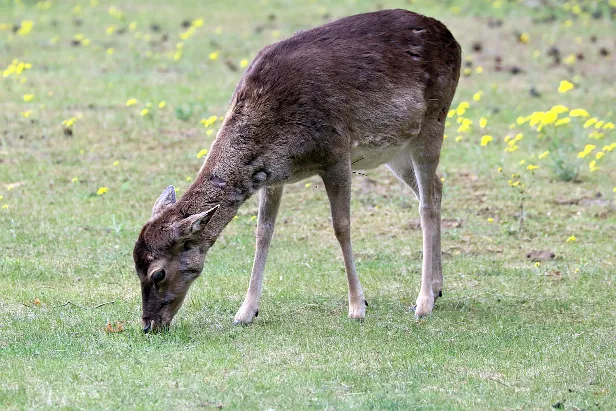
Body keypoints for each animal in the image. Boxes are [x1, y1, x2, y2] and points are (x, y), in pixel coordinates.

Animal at [135, 8, 462, 334]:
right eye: (134, 265)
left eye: (157, 274)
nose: (149, 325)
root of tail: (451, 38)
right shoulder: (272, 177)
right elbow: (263, 231)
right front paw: (245, 312)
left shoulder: (335, 152)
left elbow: (341, 226)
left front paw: (358, 307)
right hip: (396, 150)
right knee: (437, 187)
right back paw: (437, 287)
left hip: (434, 119)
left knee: (426, 203)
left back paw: (423, 303)